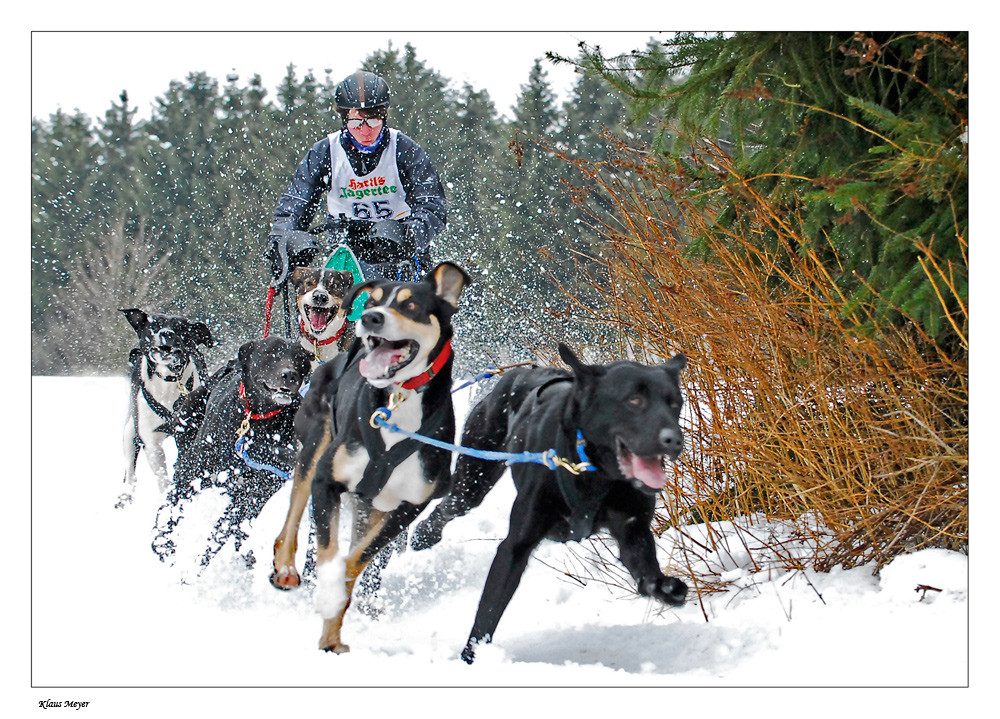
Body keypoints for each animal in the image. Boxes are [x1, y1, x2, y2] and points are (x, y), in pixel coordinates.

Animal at [119, 308, 213, 506]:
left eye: (181, 328)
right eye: (155, 325)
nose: (167, 333)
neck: (168, 383)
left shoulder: (188, 431)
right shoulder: (151, 442)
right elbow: (162, 476)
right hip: (129, 432)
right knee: (130, 472)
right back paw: (125, 497)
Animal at [152, 336, 312, 568]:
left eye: (300, 359)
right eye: (270, 352)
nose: (290, 374)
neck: (257, 423)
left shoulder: (252, 495)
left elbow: (221, 533)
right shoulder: (192, 473)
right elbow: (172, 507)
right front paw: (163, 543)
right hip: (187, 421)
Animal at [272, 262, 470, 656]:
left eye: (411, 305)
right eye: (374, 300)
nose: (370, 317)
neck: (398, 403)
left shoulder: (408, 507)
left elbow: (355, 562)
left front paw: (333, 618)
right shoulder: (327, 482)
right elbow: (328, 552)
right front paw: (325, 590)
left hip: (372, 508)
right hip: (314, 450)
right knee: (291, 521)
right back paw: (285, 569)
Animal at [412, 344, 688, 664]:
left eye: (675, 403)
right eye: (634, 400)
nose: (674, 440)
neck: (593, 472)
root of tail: (516, 373)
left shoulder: (633, 530)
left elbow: (646, 572)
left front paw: (665, 587)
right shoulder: (515, 547)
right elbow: (488, 612)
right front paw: (471, 658)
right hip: (473, 481)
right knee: (447, 507)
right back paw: (423, 535)